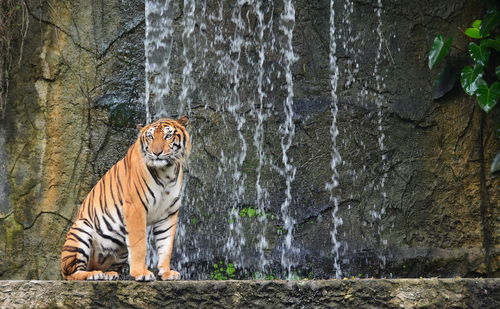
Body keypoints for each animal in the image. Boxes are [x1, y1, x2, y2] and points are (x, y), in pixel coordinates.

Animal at [59, 115, 191, 280]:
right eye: (150, 137)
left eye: (168, 136)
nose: (157, 153)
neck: (167, 171)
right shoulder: (135, 207)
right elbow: (139, 244)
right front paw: (141, 273)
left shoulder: (169, 213)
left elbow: (166, 245)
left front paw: (166, 272)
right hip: (82, 228)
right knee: (71, 273)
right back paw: (94, 275)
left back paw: (109, 274)